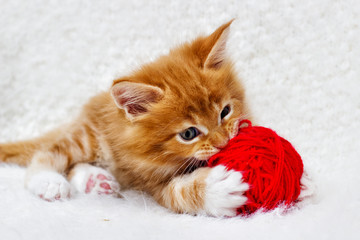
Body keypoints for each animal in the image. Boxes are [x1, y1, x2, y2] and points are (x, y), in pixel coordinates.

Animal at [0, 20, 252, 217]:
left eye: (225, 112)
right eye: (188, 134)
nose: (224, 143)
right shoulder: (150, 182)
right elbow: (177, 193)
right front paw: (218, 190)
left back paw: (96, 180)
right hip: (87, 139)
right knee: (50, 152)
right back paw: (48, 181)